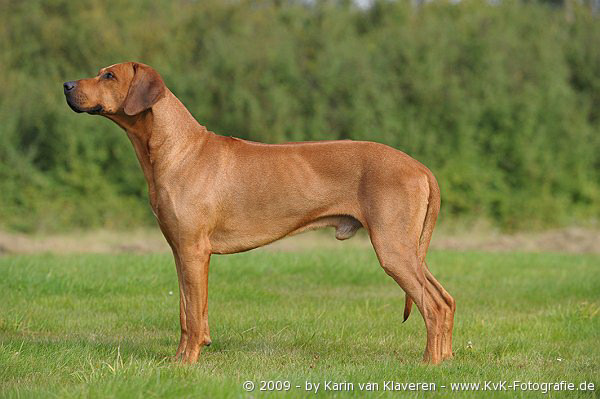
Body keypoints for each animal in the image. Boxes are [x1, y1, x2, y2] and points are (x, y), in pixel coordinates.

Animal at [63, 62, 454, 366]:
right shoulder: (180, 251)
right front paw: (179, 359)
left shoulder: (193, 251)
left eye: (109, 75)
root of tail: (421, 168)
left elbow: (192, 315)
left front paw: (186, 363)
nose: (66, 85)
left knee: (433, 305)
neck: (180, 148)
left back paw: (428, 364)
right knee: (446, 300)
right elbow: (187, 311)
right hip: (408, 250)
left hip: (393, 248)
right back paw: (447, 359)